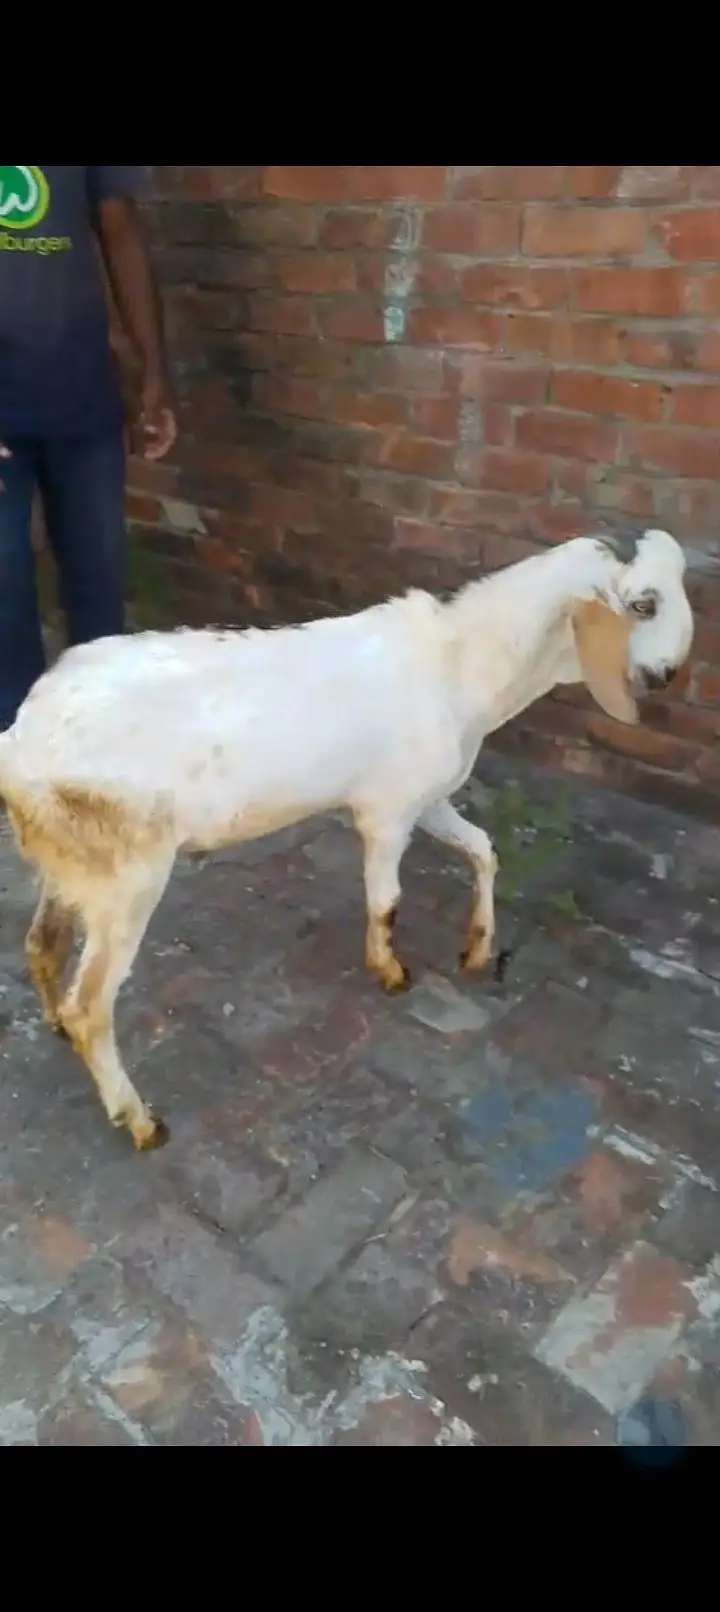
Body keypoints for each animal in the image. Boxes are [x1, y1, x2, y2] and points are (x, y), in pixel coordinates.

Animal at [0, 525, 694, 1152]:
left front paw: (477, 950)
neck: (459, 666)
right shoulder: (385, 813)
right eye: (642, 603)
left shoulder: (428, 797)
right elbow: (387, 900)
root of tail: (22, 740)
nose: (665, 676)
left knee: (42, 944)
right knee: (92, 1006)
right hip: (128, 877)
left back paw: (55, 1026)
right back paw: (138, 1118)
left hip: (74, 865)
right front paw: (390, 970)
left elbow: (484, 851)